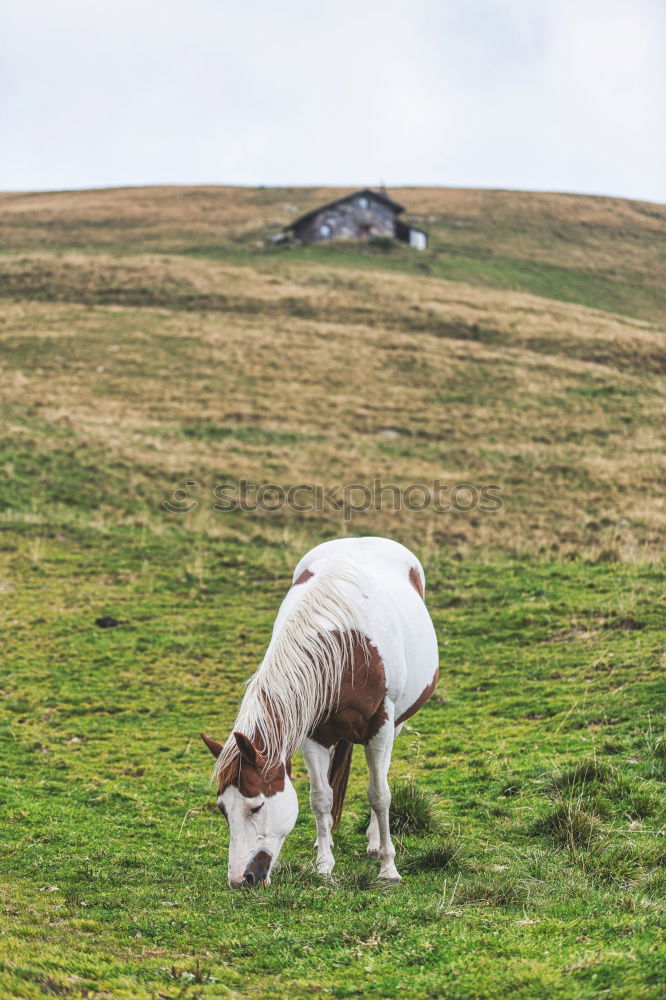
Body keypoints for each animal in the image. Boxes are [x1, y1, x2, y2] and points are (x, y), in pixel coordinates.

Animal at [202, 536, 440, 888]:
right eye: (222, 809)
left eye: (256, 807)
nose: (239, 879)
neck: (347, 646)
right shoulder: (312, 734)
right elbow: (320, 797)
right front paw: (324, 865)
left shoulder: (381, 725)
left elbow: (380, 794)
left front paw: (389, 867)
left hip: (395, 724)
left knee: (380, 778)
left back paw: (375, 841)